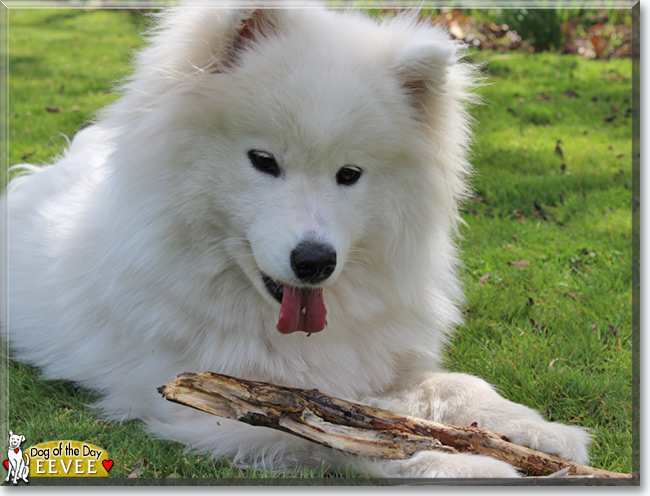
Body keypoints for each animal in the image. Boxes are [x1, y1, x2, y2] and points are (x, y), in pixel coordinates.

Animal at [3, 2, 588, 476]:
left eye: (349, 174)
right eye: (263, 161)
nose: (314, 261)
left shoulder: (377, 363)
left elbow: (454, 385)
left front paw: (542, 432)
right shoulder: (213, 404)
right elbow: (346, 436)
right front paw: (463, 465)